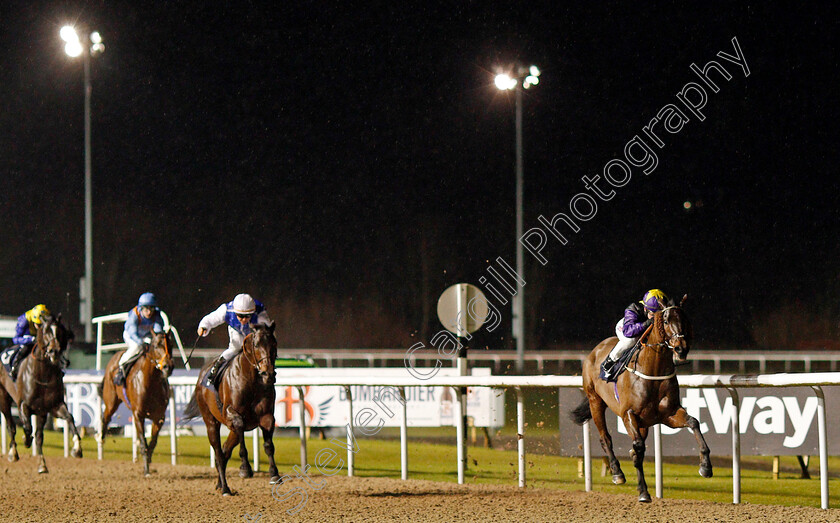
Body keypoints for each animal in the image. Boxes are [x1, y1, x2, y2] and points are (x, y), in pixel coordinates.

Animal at [0, 316, 83, 474]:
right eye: (45, 332)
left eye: (60, 332)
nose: (54, 351)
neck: (43, 374)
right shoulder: (23, 405)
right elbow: (27, 428)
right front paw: (26, 441)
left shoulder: (51, 407)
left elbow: (69, 418)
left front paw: (77, 449)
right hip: (4, 399)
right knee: (10, 425)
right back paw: (13, 453)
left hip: (40, 413)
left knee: (38, 435)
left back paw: (42, 464)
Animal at [98, 330, 174, 476]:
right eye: (156, 345)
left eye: (171, 345)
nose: (169, 367)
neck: (151, 383)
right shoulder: (139, 414)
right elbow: (144, 443)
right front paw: (146, 470)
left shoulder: (159, 417)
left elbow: (152, 442)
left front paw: (148, 462)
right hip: (111, 401)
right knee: (105, 417)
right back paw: (101, 437)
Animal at [183, 324, 280, 496]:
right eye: (256, 345)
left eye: (273, 344)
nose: (268, 373)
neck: (251, 380)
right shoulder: (231, 413)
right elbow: (240, 426)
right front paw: (245, 468)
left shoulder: (267, 415)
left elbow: (269, 445)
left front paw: (274, 474)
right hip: (211, 422)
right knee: (219, 453)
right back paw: (225, 488)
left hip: (231, 430)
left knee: (225, 451)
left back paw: (220, 484)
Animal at [572, 296, 708, 502]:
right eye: (666, 320)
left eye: (684, 319)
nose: (681, 348)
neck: (653, 371)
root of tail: (595, 350)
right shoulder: (628, 414)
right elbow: (637, 448)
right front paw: (643, 492)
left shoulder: (668, 414)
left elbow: (693, 422)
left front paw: (705, 466)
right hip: (595, 401)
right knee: (606, 438)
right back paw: (617, 472)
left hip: (643, 424)